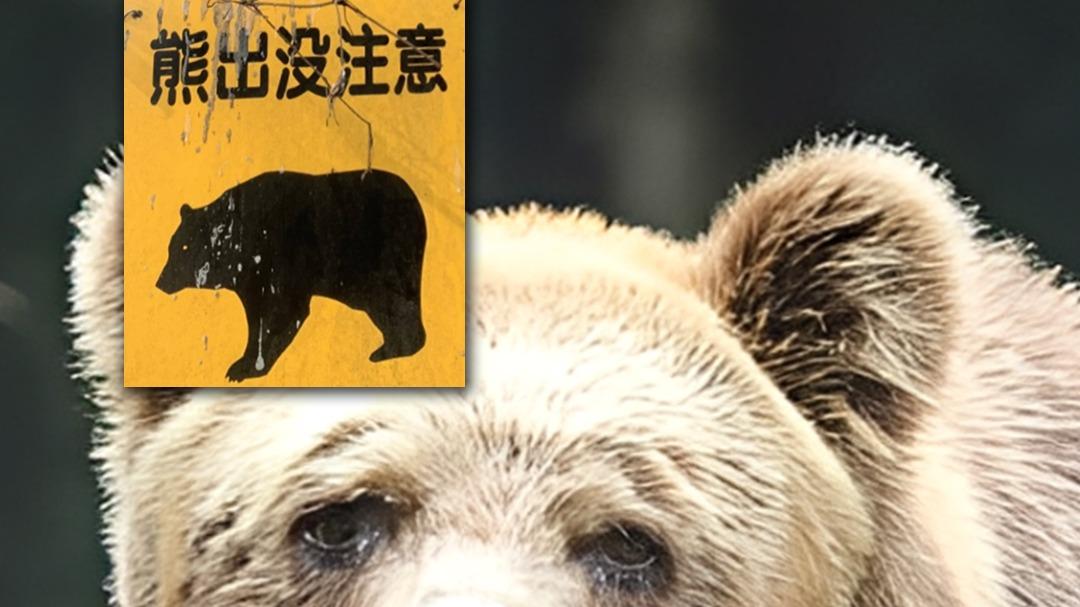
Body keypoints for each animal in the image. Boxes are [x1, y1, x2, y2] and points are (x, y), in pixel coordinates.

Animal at [154, 168, 427, 382]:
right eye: (171, 246)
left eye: (184, 248)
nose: (160, 282)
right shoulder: (250, 279)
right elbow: (257, 315)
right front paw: (243, 362)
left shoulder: (282, 260)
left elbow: (283, 311)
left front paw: (244, 369)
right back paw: (390, 348)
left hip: (380, 258)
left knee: (395, 302)